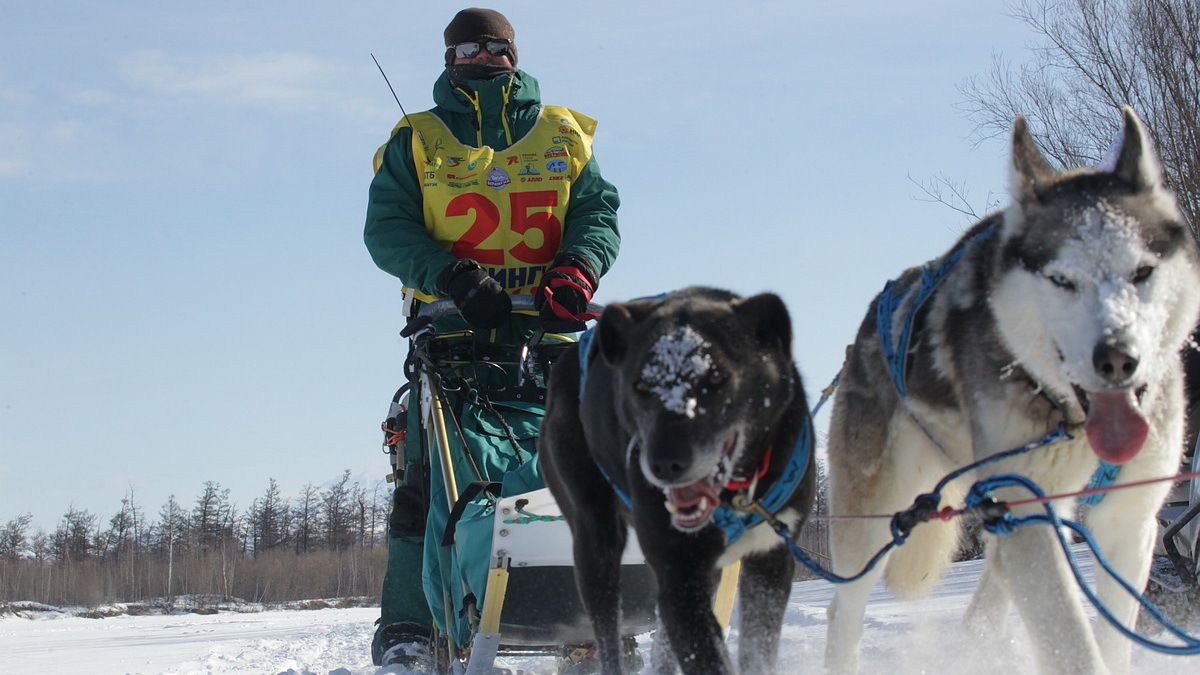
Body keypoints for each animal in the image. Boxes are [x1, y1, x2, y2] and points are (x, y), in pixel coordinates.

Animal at [542, 288, 816, 672]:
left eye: (716, 378)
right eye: (641, 385)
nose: (661, 463)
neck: (737, 494)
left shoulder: (769, 562)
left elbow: (758, 652)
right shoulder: (679, 577)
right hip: (595, 539)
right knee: (607, 634)